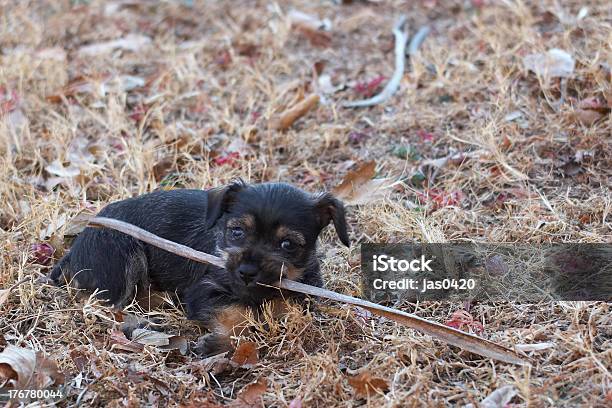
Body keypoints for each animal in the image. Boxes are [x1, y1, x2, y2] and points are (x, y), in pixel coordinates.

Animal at [48, 181, 350, 354]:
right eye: (237, 232)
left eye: (288, 244)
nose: (246, 272)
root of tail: (75, 249)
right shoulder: (205, 290)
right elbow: (236, 312)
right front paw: (222, 341)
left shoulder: (305, 292)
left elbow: (285, 307)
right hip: (122, 252)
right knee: (100, 304)